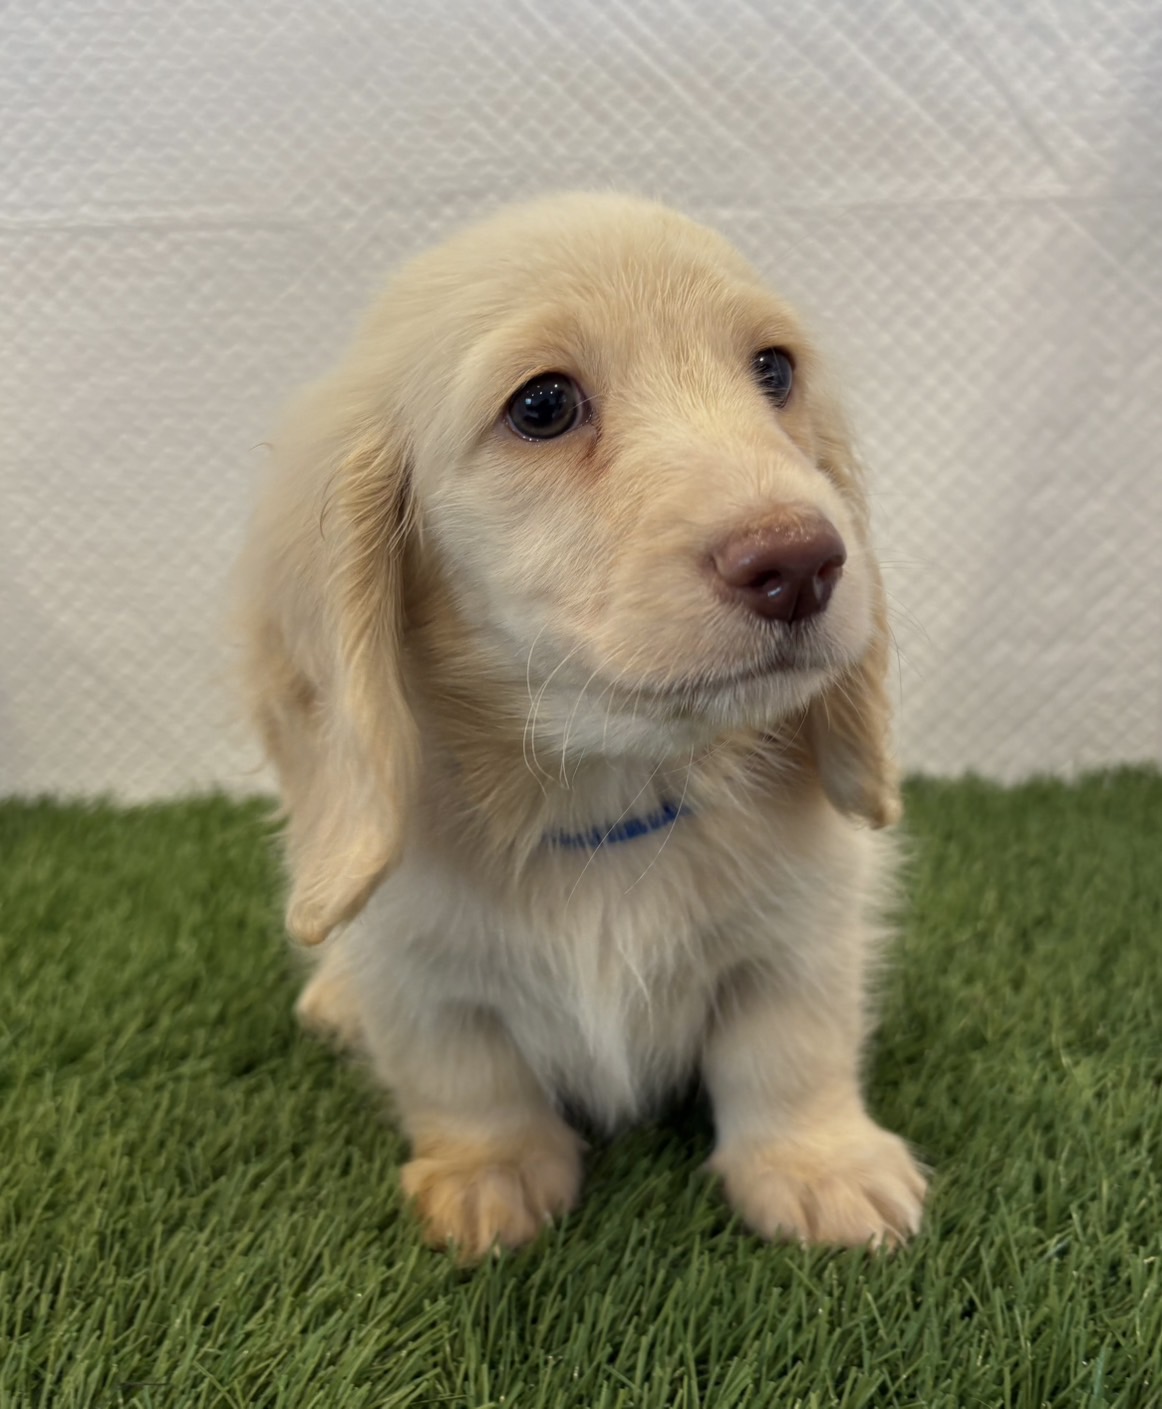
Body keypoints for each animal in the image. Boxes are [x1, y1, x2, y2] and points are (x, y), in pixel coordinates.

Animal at [236, 192, 928, 1260]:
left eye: (774, 370)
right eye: (543, 406)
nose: (803, 562)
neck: (610, 797)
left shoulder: (807, 928)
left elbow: (788, 1046)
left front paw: (821, 1165)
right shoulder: (413, 964)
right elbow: (464, 1071)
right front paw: (489, 1176)